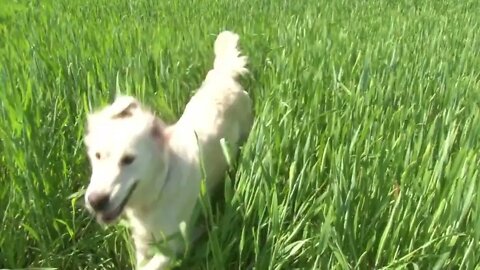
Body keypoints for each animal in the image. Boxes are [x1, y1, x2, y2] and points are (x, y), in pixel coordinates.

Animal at [83, 30, 253, 268]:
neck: (158, 189)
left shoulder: (173, 247)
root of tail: (223, 75)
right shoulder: (143, 244)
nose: (95, 201)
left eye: (128, 159)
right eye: (97, 156)